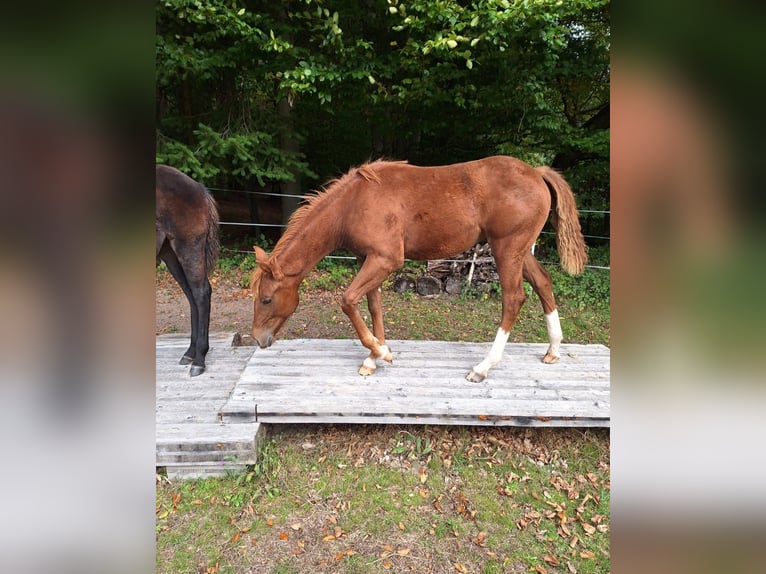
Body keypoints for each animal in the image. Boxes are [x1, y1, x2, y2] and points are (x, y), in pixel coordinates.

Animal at [156, 165, 220, 376]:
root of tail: (199, 188)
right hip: (171, 255)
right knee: (191, 296)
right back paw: (191, 352)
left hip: (188, 249)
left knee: (201, 294)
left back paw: (199, 359)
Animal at [251, 156, 587, 382]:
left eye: (266, 299)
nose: (257, 339)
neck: (353, 203)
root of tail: (537, 173)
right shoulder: (368, 259)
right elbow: (372, 306)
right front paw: (374, 357)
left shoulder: (385, 260)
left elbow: (347, 300)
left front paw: (381, 353)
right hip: (517, 252)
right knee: (543, 282)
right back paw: (553, 350)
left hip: (507, 251)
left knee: (513, 299)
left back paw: (482, 367)